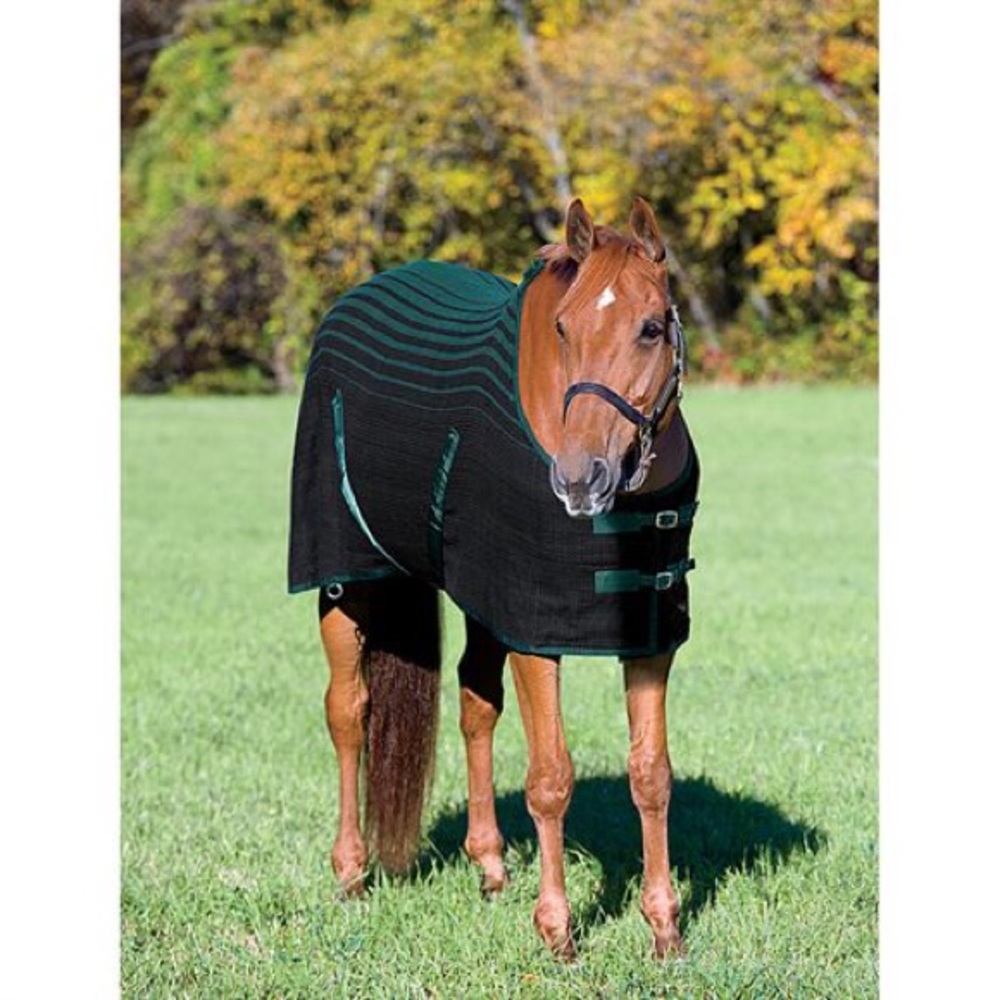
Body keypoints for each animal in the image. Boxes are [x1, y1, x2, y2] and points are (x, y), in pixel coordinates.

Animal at [288, 197, 699, 960]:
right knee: (348, 712)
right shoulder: (537, 634)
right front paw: (559, 931)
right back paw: (351, 873)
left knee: (475, 705)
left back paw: (489, 865)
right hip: (345, 583)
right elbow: (551, 777)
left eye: (651, 328)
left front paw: (664, 928)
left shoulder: (649, 637)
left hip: (481, 600)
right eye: (564, 327)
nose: (579, 479)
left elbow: (651, 774)